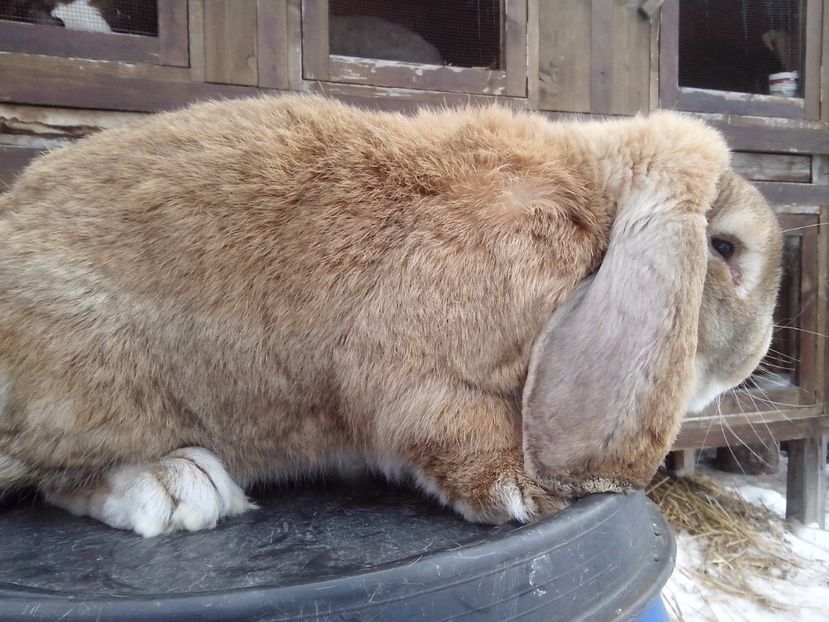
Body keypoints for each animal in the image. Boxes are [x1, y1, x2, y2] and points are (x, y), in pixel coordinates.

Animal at [0, 95, 784, 540]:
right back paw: (179, 488)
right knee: (57, 474)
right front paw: (520, 492)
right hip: (92, 381)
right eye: (724, 248)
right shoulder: (414, 368)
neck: (594, 209)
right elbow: (440, 423)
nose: (756, 352)